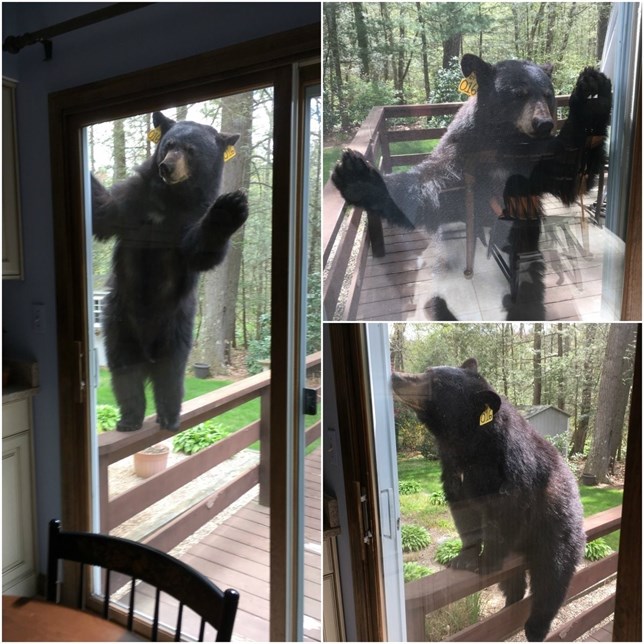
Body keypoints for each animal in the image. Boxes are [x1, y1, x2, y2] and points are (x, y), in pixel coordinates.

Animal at [92, 111, 248, 432]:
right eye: (168, 145)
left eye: (191, 150)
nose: (167, 166)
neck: (170, 200)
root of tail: (147, 349)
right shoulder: (133, 201)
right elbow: (105, 212)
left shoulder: (190, 219)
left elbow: (200, 251)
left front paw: (229, 207)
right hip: (119, 323)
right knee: (124, 371)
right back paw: (130, 418)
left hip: (177, 327)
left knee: (171, 375)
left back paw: (169, 415)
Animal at [332, 55, 612, 320]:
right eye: (518, 94)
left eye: (548, 94)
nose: (543, 123)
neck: (506, 146)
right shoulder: (462, 158)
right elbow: (429, 190)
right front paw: (357, 175)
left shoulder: (536, 162)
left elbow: (570, 175)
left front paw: (592, 90)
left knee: (529, 282)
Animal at [391, 359, 585, 641]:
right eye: (428, 371)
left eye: (435, 382)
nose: (395, 377)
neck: (469, 446)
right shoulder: (453, 471)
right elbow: (463, 513)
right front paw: (463, 557)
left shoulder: (512, 469)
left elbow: (505, 514)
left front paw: (488, 560)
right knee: (514, 583)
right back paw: (509, 605)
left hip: (557, 529)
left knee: (552, 578)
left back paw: (535, 626)